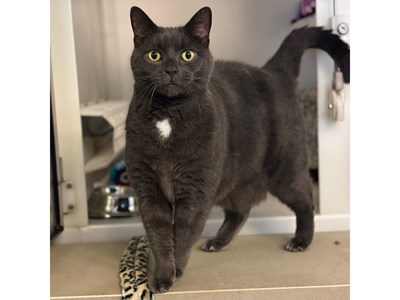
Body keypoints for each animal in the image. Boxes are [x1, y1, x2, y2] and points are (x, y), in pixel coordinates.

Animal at [125, 6, 350, 292]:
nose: (172, 69)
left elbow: (183, 233)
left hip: (284, 169)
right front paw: (163, 276)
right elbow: (160, 236)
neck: (168, 115)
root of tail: (271, 71)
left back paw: (300, 241)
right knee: (240, 210)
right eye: (154, 55)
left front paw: (175, 272)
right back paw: (218, 242)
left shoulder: (196, 191)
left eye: (188, 54)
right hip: (232, 178)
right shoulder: (149, 190)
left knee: (305, 201)